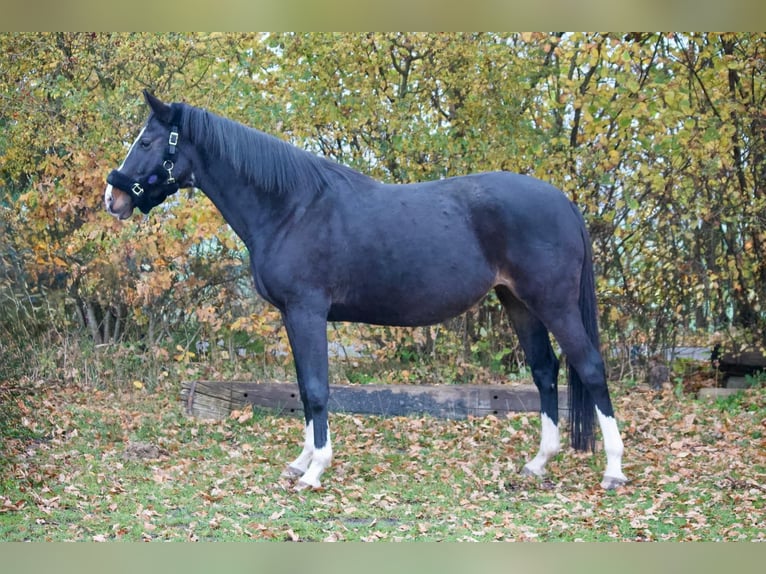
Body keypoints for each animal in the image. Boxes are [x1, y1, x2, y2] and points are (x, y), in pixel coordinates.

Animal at [105, 91, 627, 491]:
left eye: (147, 140)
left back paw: (614, 471)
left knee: (590, 368)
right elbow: (303, 388)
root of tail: (563, 201)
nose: (113, 197)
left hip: (554, 303)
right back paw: (538, 463)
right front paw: (300, 461)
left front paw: (314, 471)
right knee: (545, 371)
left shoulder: (307, 311)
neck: (291, 208)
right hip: (518, 302)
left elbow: (317, 390)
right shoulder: (293, 317)